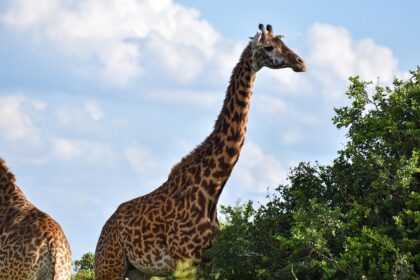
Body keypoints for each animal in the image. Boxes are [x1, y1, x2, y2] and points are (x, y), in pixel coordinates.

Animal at [94, 24, 306, 280]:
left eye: (284, 43)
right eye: (269, 47)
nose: (300, 62)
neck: (211, 189)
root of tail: (104, 228)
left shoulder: (208, 264)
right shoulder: (184, 262)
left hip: (138, 270)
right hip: (110, 266)